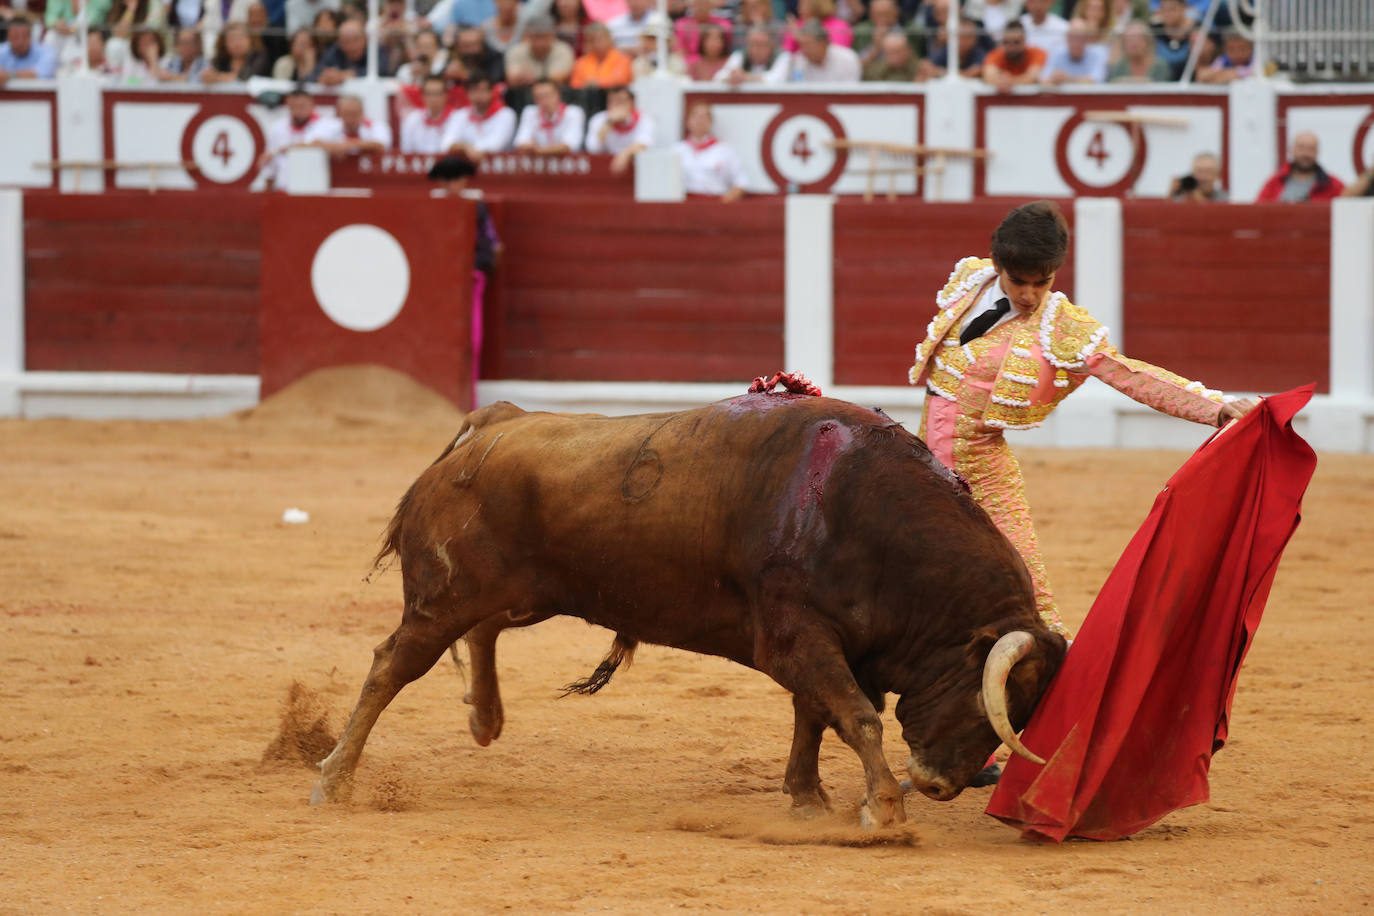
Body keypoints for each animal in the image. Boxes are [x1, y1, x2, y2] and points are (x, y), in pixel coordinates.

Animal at [311, 390, 1060, 829]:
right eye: (989, 699)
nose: (939, 785)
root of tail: (496, 423)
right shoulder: (798, 636)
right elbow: (855, 716)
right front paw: (883, 808)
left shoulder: (825, 643)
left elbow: (815, 717)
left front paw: (808, 796)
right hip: (445, 597)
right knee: (391, 665)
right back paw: (334, 780)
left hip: (528, 592)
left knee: (484, 630)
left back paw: (485, 720)